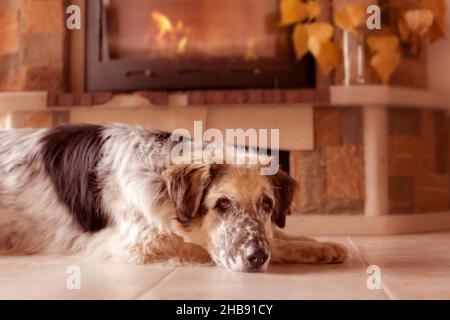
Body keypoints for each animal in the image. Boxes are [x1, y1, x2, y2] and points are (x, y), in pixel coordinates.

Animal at [0, 124, 348, 272]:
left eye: (266, 204)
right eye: (222, 204)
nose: (257, 257)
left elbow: (279, 235)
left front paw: (320, 245)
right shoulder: (142, 245)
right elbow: (201, 246)